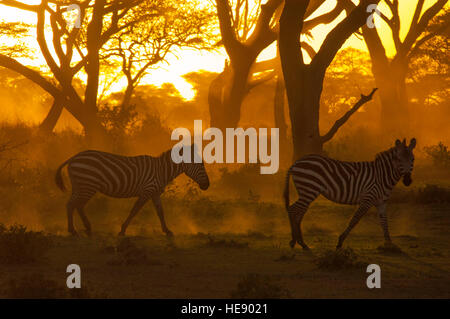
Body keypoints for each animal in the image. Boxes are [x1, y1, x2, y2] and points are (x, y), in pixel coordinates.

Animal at [55, 145, 209, 238]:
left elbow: (160, 212)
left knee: (74, 205)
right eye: (201, 164)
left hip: (81, 185)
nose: (207, 185)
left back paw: (86, 228)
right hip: (87, 185)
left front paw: (167, 231)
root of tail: (74, 157)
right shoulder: (146, 191)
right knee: (74, 205)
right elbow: (134, 211)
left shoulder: (154, 193)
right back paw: (74, 230)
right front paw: (122, 230)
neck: (161, 171)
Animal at [286, 139, 416, 251]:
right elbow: (354, 220)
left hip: (307, 192)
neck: (382, 176)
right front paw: (340, 242)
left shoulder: (382, 202)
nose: (407, 181)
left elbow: (384, 222)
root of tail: (296, 162)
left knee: (298, 212)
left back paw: (297, 242)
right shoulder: (367, 199)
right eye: (398, 159)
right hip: (309, 189)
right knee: (293, 210)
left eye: (413, 159)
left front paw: (389, 244)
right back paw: (298, 243)